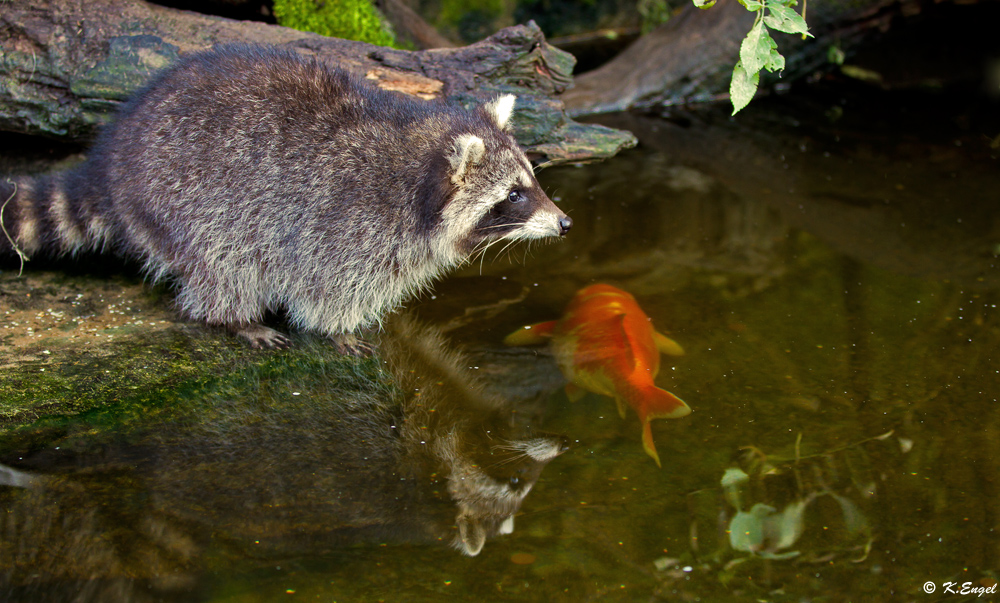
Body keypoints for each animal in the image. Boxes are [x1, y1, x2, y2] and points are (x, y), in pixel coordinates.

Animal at [0, 44, 576, 354]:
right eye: (514, 196)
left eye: (532, 182)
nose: (566, 223)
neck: (415, 166)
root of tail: (112, 159)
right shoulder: (345, 223)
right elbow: (327, 287)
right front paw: (338, 328)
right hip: (184, 197)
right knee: (222, 263)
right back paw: (234, 318)